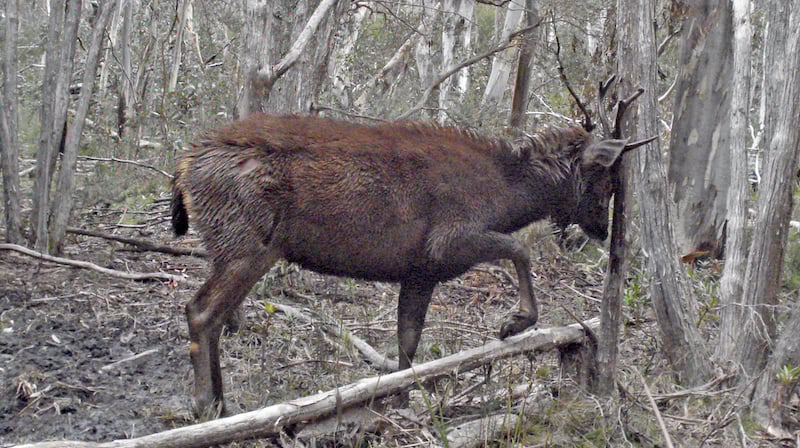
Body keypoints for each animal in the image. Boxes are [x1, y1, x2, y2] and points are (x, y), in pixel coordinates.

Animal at [171, 85, 648, 417]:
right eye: (606, 179)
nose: (602, 229)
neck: (506, 197)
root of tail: (184, 165)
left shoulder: (420, 269)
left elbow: (407, 341)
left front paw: (396, 402)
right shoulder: (448, 239)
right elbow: (518, 249)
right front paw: (514, 322)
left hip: (236, 245)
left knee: (212, 315)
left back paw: (222, 403)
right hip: (246, 243)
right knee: (200, 311)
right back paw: (204, 405)